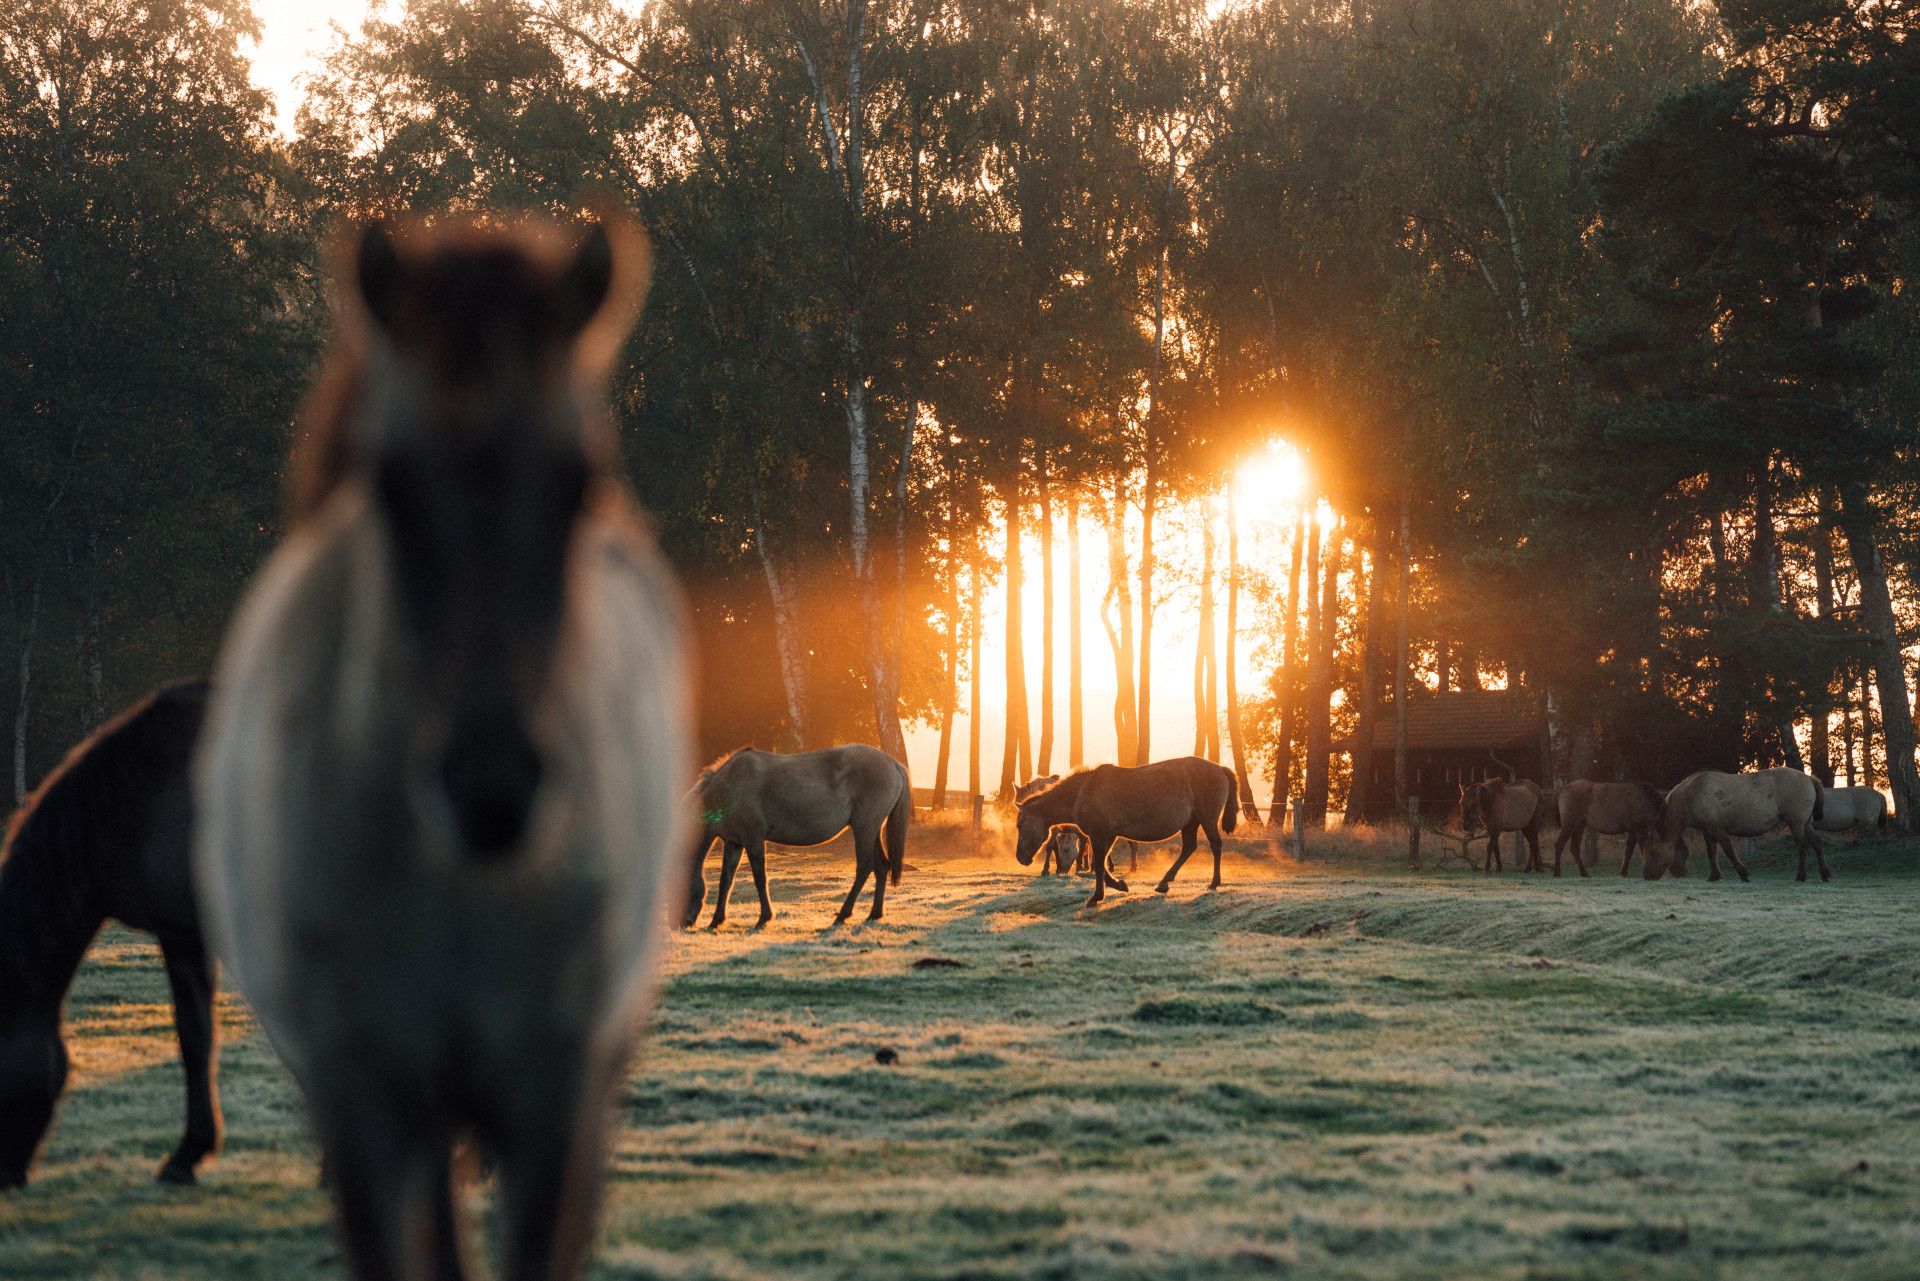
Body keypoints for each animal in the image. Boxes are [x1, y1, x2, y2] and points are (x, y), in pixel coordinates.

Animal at [683, 741, 906, 933]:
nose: (683, 923)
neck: (729, 786)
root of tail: (893, 763)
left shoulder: (754, 840)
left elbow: (759, 878)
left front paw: (764, 918)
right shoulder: (733, 842)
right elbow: (726, 880)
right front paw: (716, 921)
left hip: (864, 828)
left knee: (864, 868)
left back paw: (843, 915)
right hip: (871, 830)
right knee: (881, 867)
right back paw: (874, 914)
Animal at [1013, 756, 1236, 906]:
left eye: (1021, 824)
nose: (1020, 857)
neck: (1082, 791)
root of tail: (1220, 768)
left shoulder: (1099, 834)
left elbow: (1098, 864)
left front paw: (1096, 897)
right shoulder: (1107, 835)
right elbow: (1100, 863)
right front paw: (1118, 885)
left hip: (1207, 819)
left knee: (1215, 845)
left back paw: (1214, 883)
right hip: (1191, 823)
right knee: (1189, 848)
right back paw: (1164, 883)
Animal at [1635, 772, 1827, 883]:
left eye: (1652, 852)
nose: (1647, 875)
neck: (1692, 794)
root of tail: (1809, 778)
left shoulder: (1718, 829)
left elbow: (1729, 851)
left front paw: (1743, 873)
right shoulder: (1707, 832)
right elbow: (1711, 853)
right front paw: (1714, 876)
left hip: (1796, 823)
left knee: (1802, 847)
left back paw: (1801, 876)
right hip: (1806, 824)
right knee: (1817, 844)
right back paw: (1825, 873)